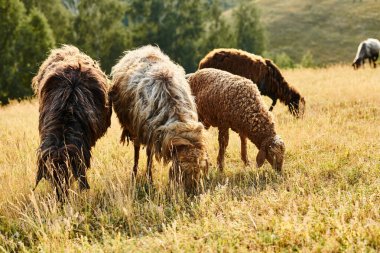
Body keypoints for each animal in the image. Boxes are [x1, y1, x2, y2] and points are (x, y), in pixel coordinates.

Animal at [110, 44, 209, 193]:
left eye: (198, 171)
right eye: (179, 170)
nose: (190, 192)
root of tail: (144, 49)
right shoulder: (148, 131)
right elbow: (147, 155)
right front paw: (149, 180)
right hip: (135, 127)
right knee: (136, 151)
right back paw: (134, 174)